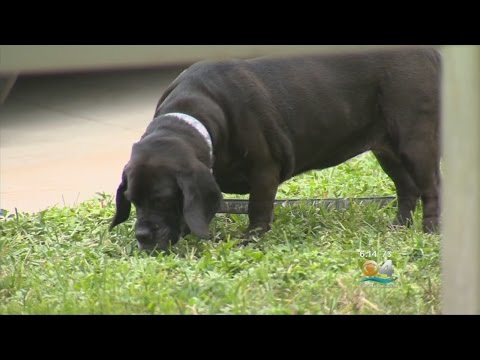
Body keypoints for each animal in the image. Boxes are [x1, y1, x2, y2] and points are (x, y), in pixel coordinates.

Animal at [110, 47, 440, 250]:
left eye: (162, 199)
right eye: (132, 200)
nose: (142, 236)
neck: (196, 114)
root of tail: (428, 52)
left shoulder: (263, 171)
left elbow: (257, 210)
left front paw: (249, 241)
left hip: (415, 142)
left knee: (431, 188)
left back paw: (431, 229)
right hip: (387, 150)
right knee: (408, 188)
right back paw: (399, 226)